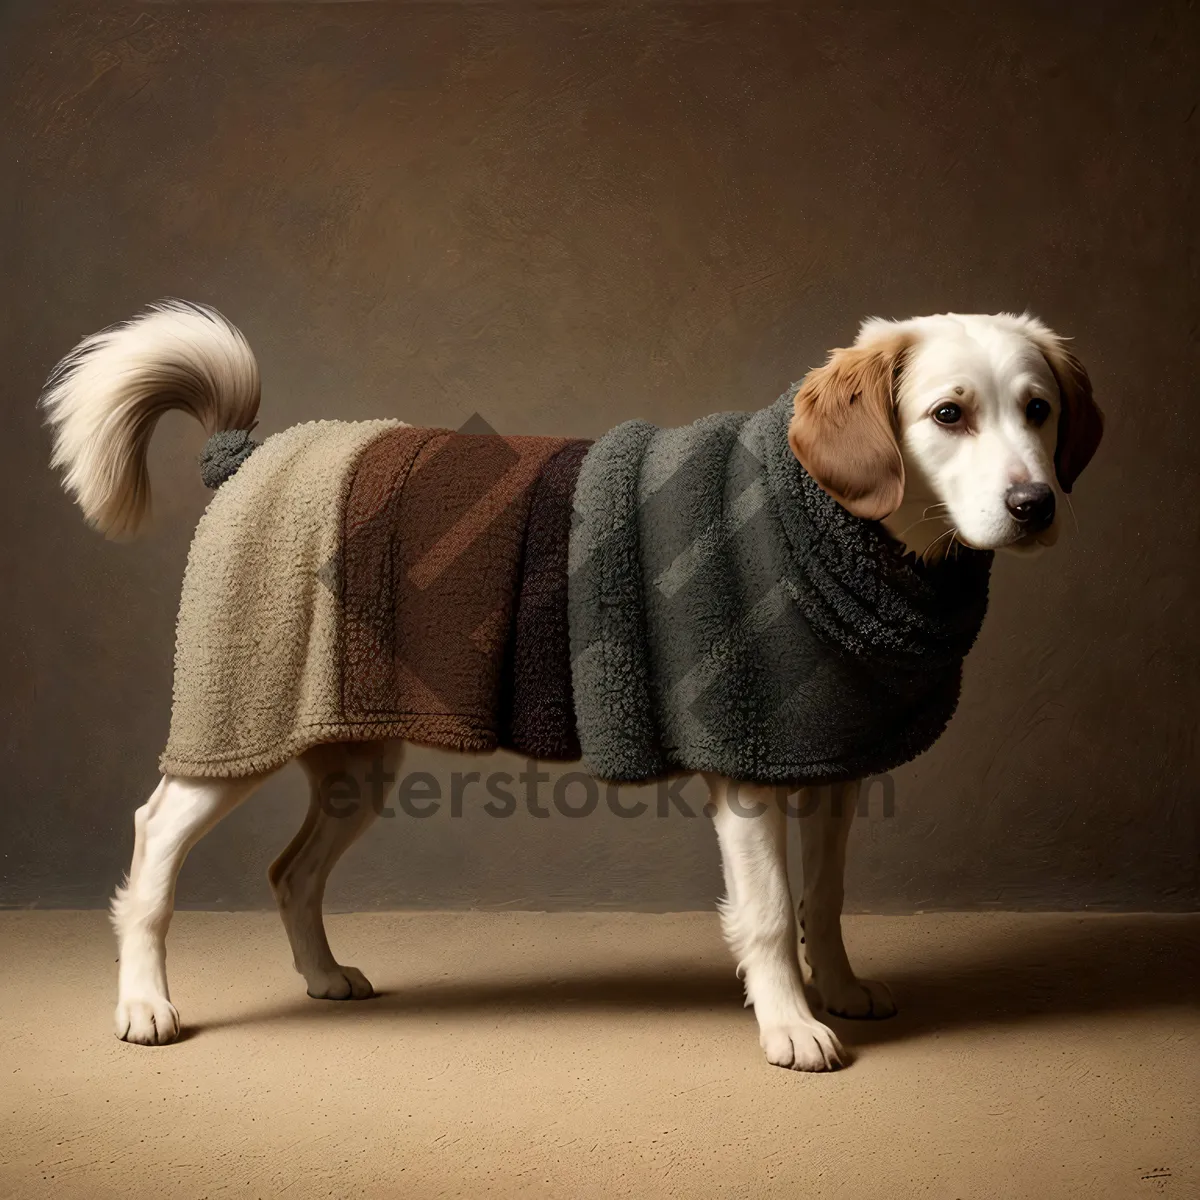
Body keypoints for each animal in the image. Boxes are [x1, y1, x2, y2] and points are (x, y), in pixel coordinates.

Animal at [42, 304, 1099, 1075]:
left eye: (1038, 410)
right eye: (949, 415)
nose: (1035, 505)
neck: (835, 522)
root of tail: (250, 454)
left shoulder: (830, 764)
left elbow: (827, 898)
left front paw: (834, 987)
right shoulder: (747, 770)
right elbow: (766, 913)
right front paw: (791, 1025)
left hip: (353, 757)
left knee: (291, 872)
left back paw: (322, 974)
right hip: (236, 721)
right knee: (154, 843)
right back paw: (144, 1001)